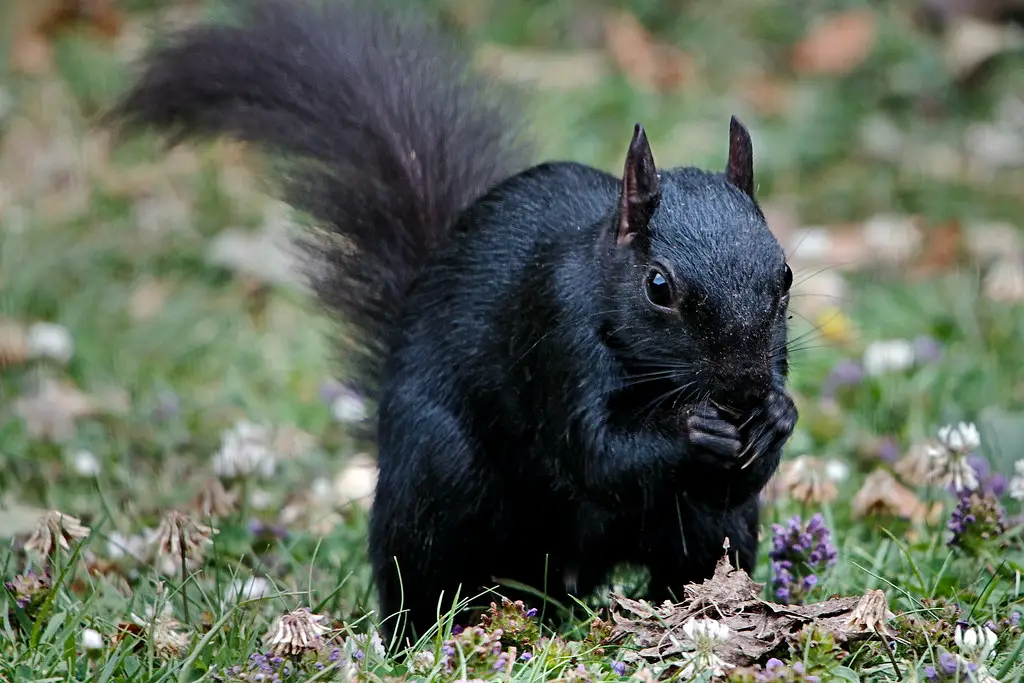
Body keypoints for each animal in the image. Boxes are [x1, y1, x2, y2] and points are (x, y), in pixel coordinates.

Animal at [112, 0, 798, 647]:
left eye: (786, 275)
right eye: (659, 287)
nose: (743, 390)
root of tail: (560, 574)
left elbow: (734, 473)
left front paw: (777, 416)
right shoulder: (555, 333)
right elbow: (598, 452)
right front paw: (695, 427)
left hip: (708, 531)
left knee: (697, 548)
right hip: (437, 472)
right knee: (423, 577)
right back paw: (424, 636)